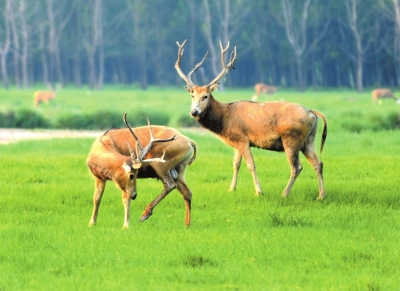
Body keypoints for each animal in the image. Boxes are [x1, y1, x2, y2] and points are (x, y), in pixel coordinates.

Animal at [175, 39, 328, 201]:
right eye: (192, 95)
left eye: (205, 96)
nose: (194, 111)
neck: (225, 120)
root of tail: (312, 112)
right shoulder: (236, 142)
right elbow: (235, 164)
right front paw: (231, 189)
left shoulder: (243, 139)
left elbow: (251, 165)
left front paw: (259, 191)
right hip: (309, 140)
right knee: (318, 163)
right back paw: (321, 195)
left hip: (291, 138)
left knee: (296, 167)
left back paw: (285, 193)